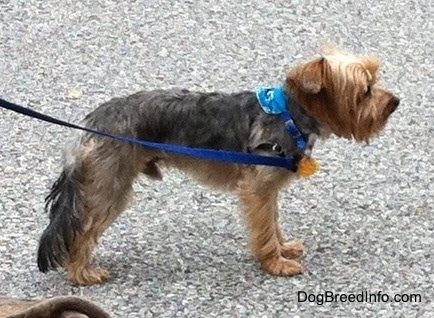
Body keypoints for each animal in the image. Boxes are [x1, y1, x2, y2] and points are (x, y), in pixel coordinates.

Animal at [36, 46, 400, 286]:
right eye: (365, 91)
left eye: (374, 81)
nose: (395, 102)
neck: (289, 115)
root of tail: (89, 125)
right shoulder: (257, 189)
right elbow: (264, 227)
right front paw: (275, 262)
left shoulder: (268, 189)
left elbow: (274, 221)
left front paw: (283, 248)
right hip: (111, 187)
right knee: (81, 231)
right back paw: (82, 273)